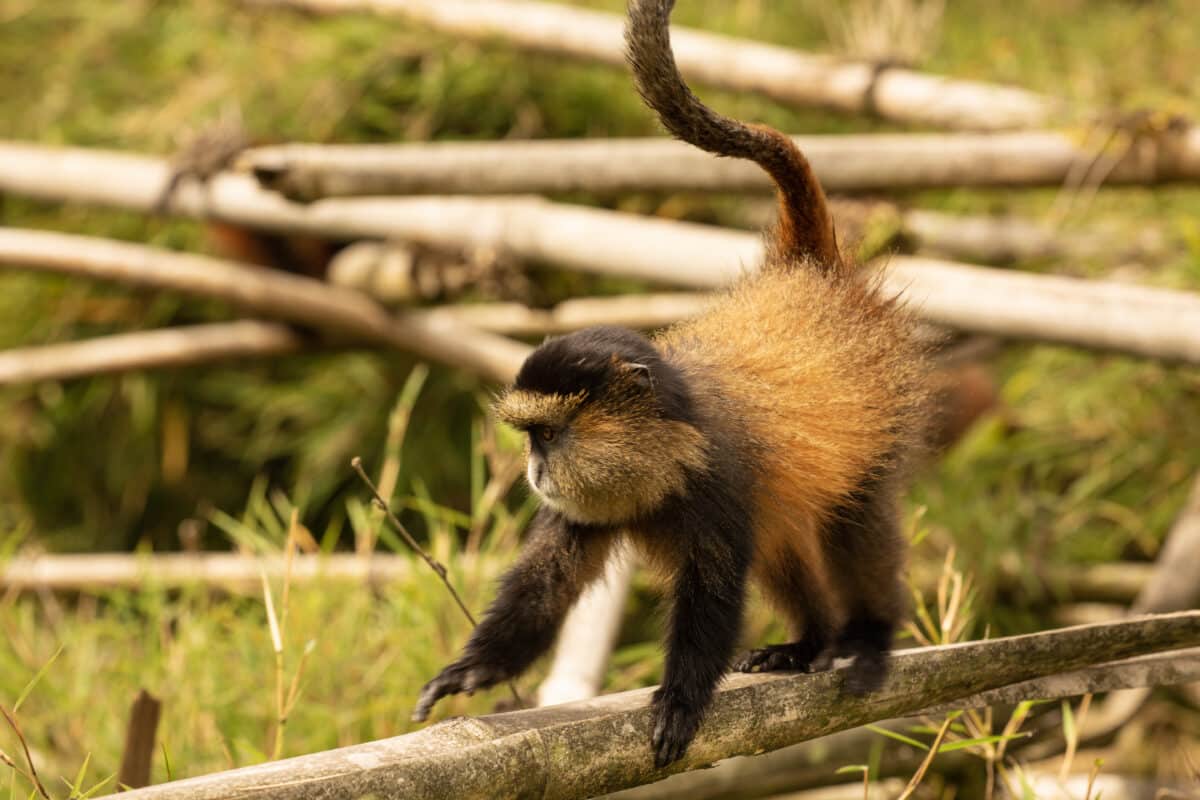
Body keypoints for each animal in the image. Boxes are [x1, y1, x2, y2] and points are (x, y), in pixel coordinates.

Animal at [412, 0, 933, 768]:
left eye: (546, 434)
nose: (535, 471)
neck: (666, 450)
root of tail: (807, 272)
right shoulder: (586, 505)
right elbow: (547, 581)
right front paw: (473, 669)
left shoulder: (719, 482)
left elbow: (710, 597)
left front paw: (682, 702)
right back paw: (808, 642)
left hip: (879, 421)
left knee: (853, 523)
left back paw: (865, 638)